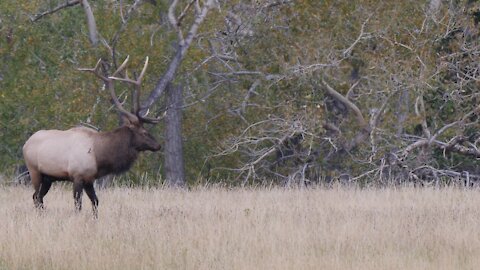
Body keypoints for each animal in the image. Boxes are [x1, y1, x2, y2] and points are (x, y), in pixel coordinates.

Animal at [22, 57, 159, 217]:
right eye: (144, 132)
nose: (158, 145)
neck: (99, 156)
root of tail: (25, 144)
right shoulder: (77, 176)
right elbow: (78, 205)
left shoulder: (89, 179)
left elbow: (95, 201)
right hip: (34, 171)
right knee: (36, 196)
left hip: (48, 177)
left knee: (37, 197)